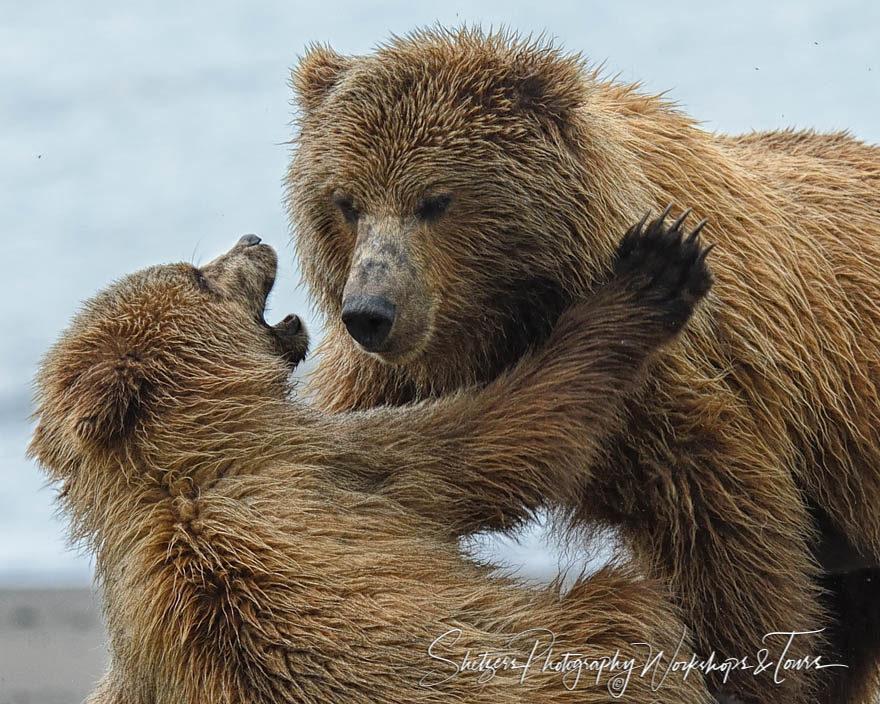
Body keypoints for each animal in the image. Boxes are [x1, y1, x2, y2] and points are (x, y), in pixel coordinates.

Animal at [288, 27, 880, 704]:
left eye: (435, 200)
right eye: (346, 201)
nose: (371, 312)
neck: (499, 325)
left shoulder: (690, 398)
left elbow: (730, 549)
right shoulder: (387, 387)